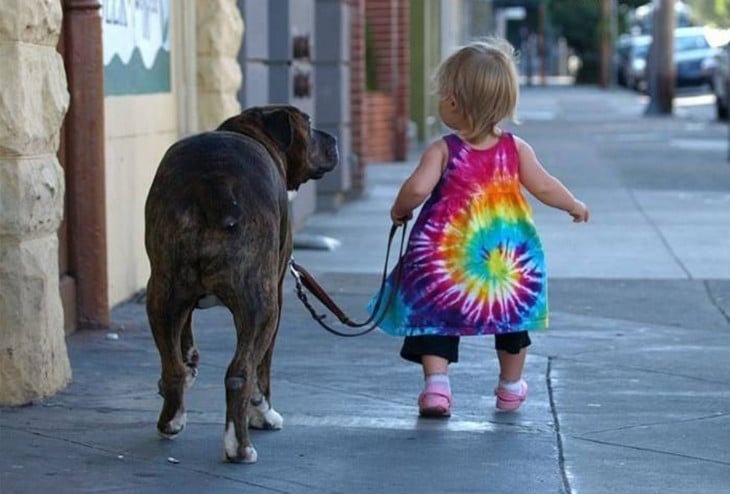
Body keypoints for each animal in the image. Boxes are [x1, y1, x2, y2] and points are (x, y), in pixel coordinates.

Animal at [144, 105, 338, 464]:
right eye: (308, 124)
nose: (332, 138)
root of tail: (211, 184)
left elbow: (184, 338)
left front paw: (190, 360)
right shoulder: (274, 296)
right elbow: (263, 369)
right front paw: (262, 413)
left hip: (162, 290)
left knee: (171, 366)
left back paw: (172, 419)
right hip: (260, 306)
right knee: (240, 373)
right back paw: (240, 445)